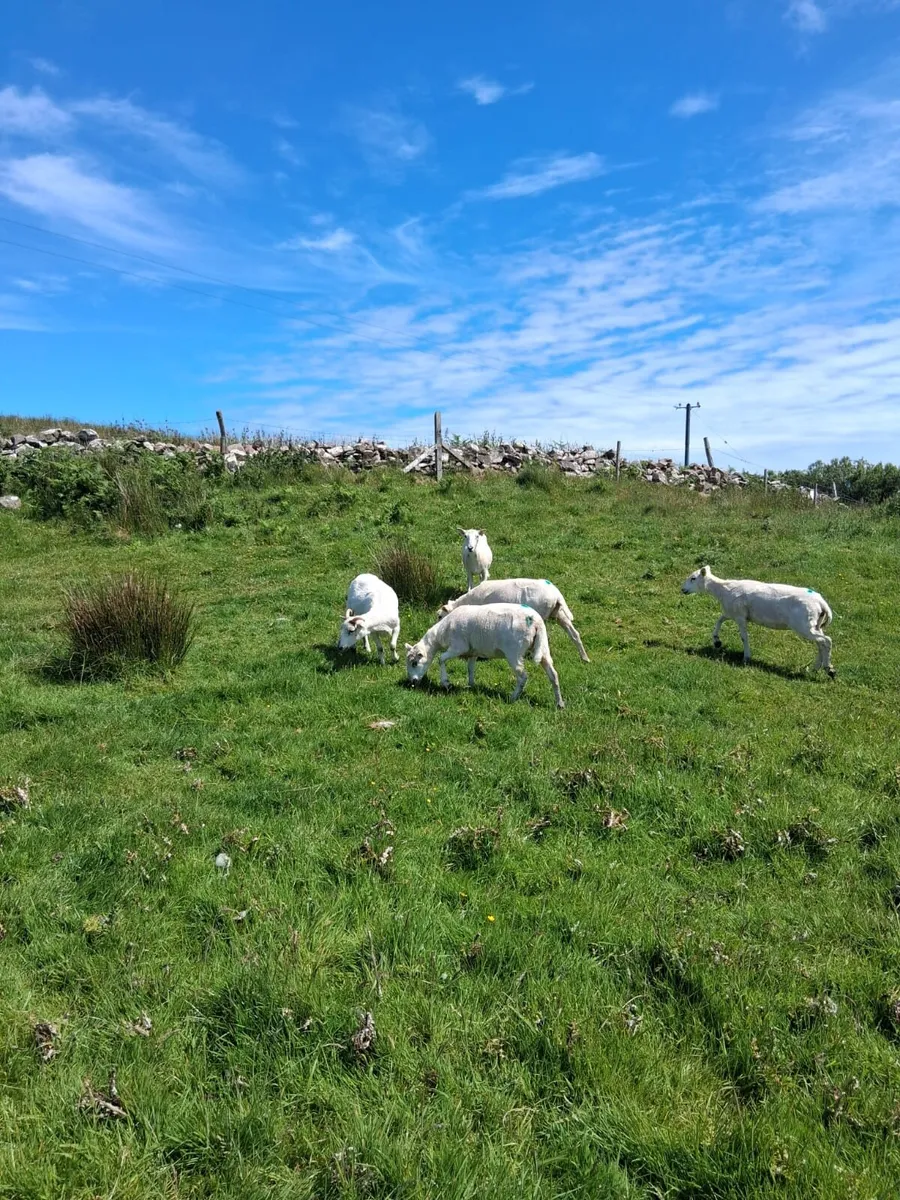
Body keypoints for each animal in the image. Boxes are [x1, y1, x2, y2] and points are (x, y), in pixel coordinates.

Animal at [405, 602, 565, 708]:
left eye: (414, 663)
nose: (412, 682)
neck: (441, 634)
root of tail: (536, 622)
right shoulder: (473, 650)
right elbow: (470, 668)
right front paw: (470, 685)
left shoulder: (459, 646)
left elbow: (441, 659)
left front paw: (446, 682)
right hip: (543, 648)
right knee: (553, 675)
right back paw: (560, 703)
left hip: (514, 652)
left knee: (523, 676)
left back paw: (512, 698)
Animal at [437, 578, 590, 662]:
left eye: (439, 616)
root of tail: (557, 594)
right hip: (559, 614)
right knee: (574, 634)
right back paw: (585, 658)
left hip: (542, 615)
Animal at [681, 565, 835, 676]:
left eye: (693, 578)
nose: (682, 589)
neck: (723, 589)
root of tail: (822, 603)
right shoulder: (731, 612)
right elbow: (719, 621)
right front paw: (717, 641)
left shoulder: (740, 616)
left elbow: (744, 637)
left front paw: (746, 658)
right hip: (815, 624)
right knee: (821, 644)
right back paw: (816, 668)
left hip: (803, 624)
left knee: (826, 641)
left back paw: (829, 669)